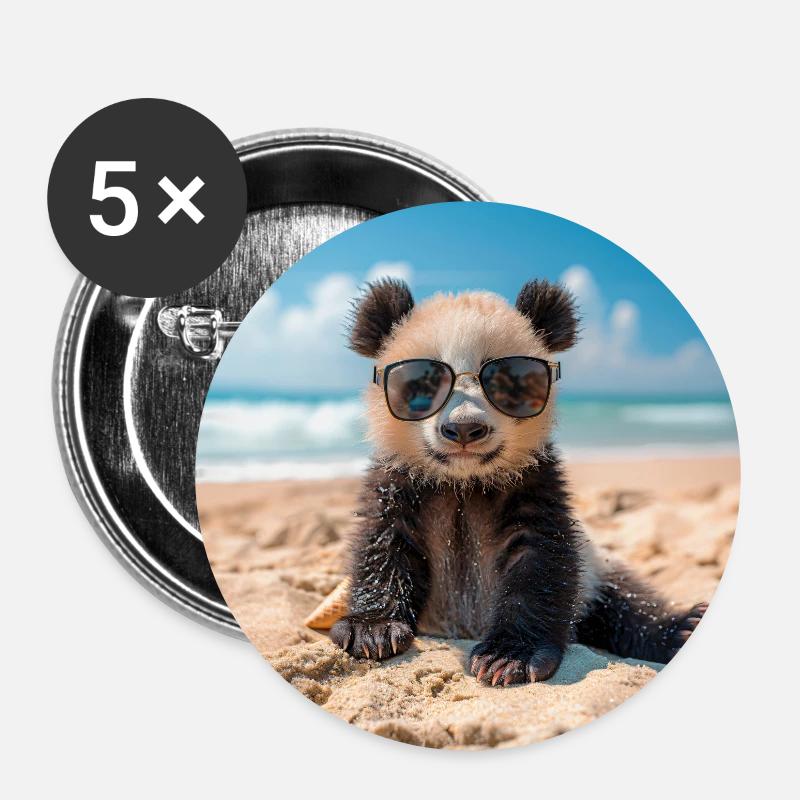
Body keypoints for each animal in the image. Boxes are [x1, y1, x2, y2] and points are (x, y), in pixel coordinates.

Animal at [330, 278, 707, 686]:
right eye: (421, 385)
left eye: (506, 381)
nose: (464, 429)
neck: (463, 481)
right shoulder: (400, 481)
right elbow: (383, 542)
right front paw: (372, 630)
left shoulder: (533, 481)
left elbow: (540, 558)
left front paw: (508, 656)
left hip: (596, 571)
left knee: (626, 602)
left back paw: (682, 627)